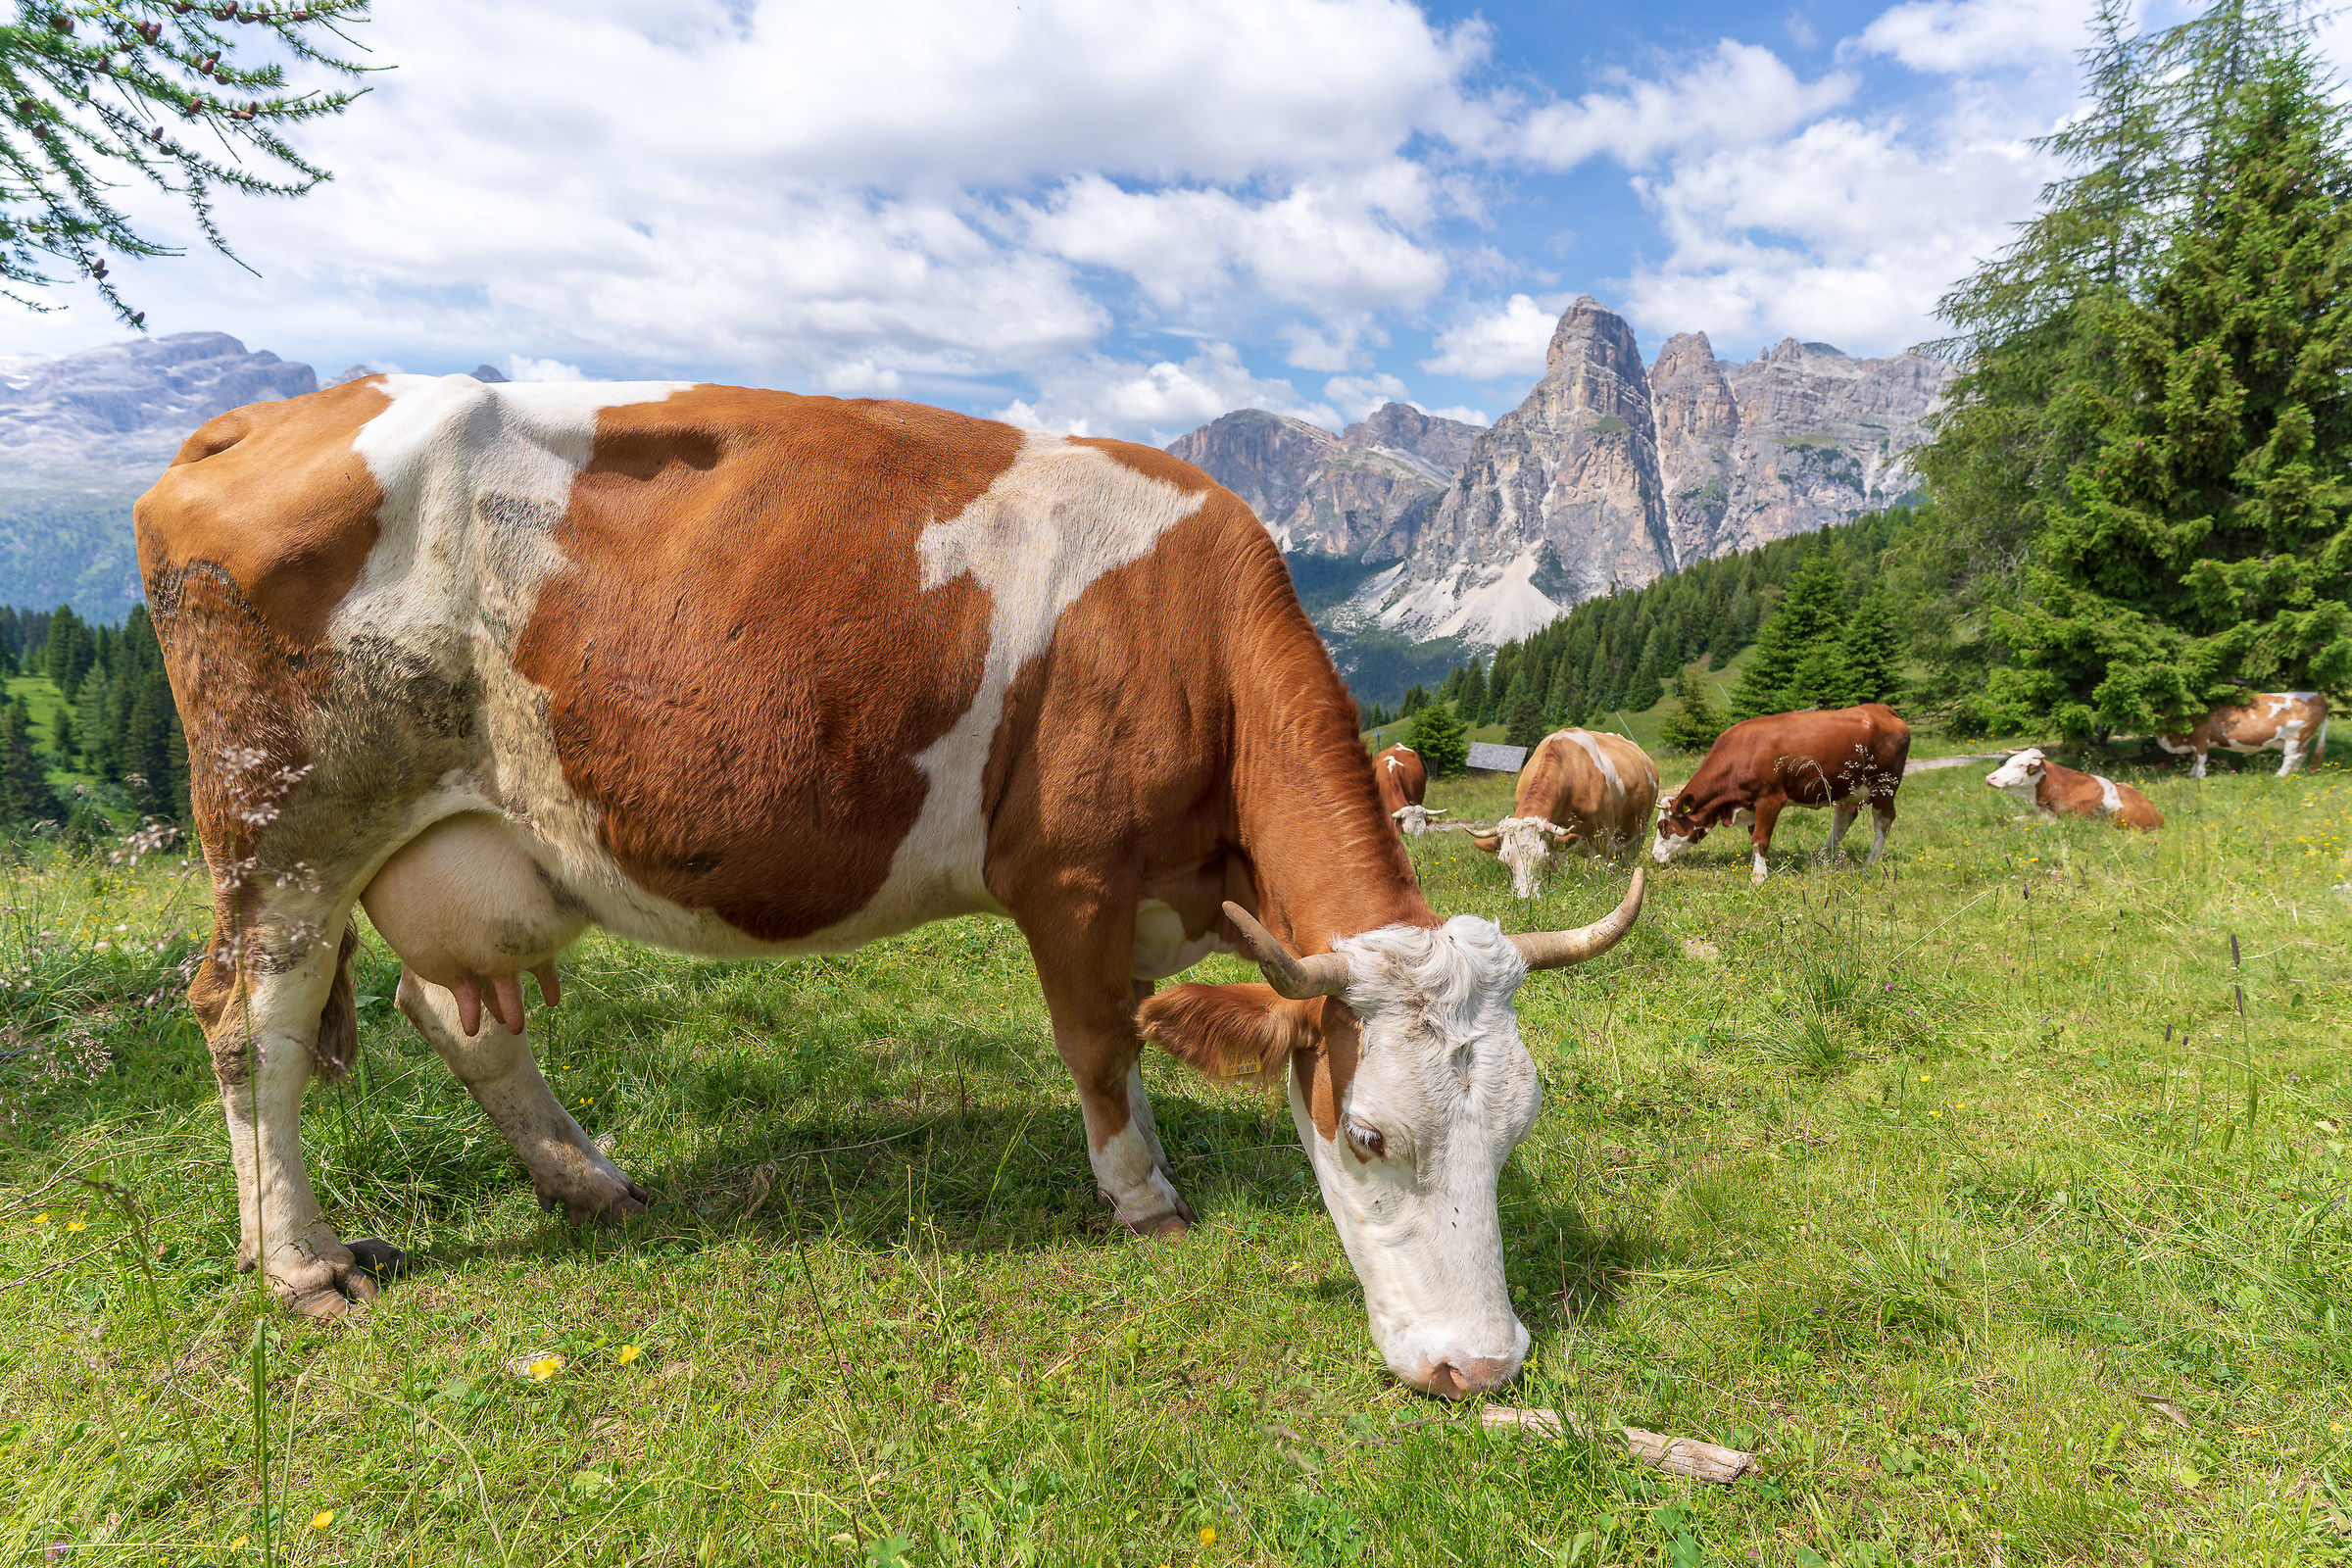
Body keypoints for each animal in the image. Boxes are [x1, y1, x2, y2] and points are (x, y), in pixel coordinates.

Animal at [1464, 729, 1659, 898]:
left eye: (1541, 858)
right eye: (1505, 862)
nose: (1525, 899)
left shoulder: (1602, 839)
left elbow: (1601, 876)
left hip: (1638, 833)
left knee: (1627, 862)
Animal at [1651, 704, 1911, 885]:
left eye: (1663, 827)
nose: (1653, 857)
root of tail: (1881, 709)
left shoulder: (1770, 799)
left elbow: (1760, 839)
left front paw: (1758, 877)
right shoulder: (1752, 804)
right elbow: (1753, 834)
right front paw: (1754, 866)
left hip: (1884, 785)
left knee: (1884, 821)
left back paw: (1872, 859)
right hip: (1844, 787)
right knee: (1843, 818)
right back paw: (1823, 856)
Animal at [2158, 693, 2331, 777]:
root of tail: (2318, 696)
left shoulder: (2200, 739)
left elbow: (2200, 759)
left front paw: (2199, 776)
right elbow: (2194, 759)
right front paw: (2192, 774)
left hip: (2295, 737)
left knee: (2292, 756)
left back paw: (2279, 775)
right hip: (2303, 739)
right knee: (2302, 754)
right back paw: (2294, 773)